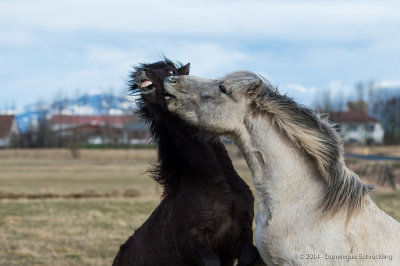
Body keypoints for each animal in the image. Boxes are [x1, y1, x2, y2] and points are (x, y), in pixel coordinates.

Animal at [111, 58, 258, 266]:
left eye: (171, 71)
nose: (142, 72)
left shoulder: (244, 233)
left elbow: (250, 255)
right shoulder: (192, 244)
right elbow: (212, 262)